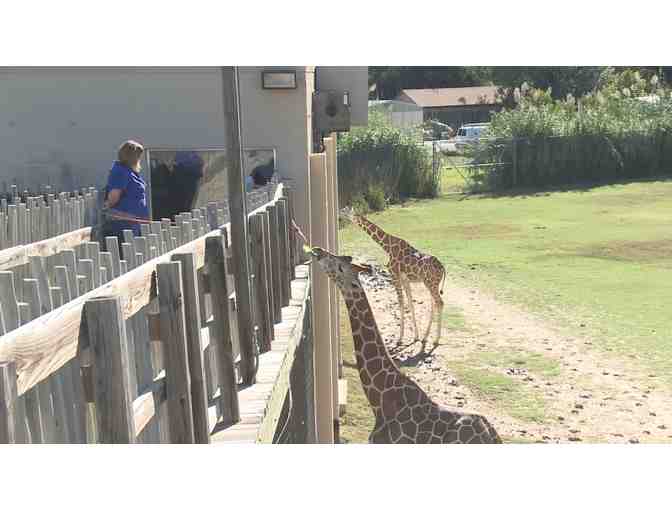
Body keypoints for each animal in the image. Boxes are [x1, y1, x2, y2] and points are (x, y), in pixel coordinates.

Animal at [342, 208, 446, 346]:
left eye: (347, 211)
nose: (340, 214)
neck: (387, 246)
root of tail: (442, 267)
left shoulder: (394, 276)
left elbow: (401, 303)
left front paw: (400, 339)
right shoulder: (405, 279)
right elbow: (410, 303)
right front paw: (416, 337)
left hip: (431, 283)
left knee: (440, 303)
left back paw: (436, 340)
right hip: (431, 283)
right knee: (434, 303)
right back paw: (425, 337)